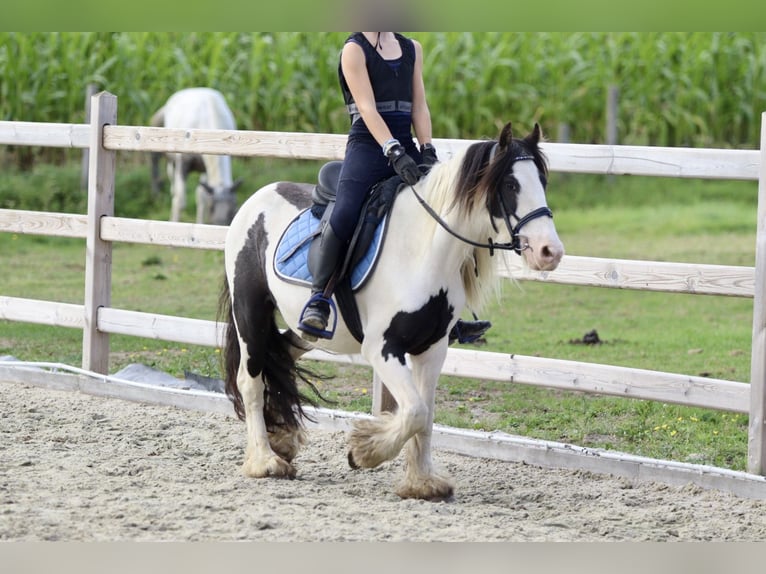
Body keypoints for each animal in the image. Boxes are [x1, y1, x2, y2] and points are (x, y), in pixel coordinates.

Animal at [151, 88, 243, 227]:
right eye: (212, 208)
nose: (220, 225)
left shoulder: (205, 168)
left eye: (233, 210)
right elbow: (180, 202)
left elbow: (202, 197)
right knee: (173, 184)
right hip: (173, 162)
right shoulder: (183, 165)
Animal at [216, 124, 564, 502]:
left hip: (304, 331)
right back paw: (265, 461)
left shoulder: (432, 348)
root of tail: (259, 197)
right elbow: (413, 411)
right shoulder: (382, 348)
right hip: (250, 313)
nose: (550, 252)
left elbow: (425, 415)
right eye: (510, 185)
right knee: (251, 380)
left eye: (543, 181)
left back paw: (281, 440)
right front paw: (363, 452)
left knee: (280, 356)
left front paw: (422, 483)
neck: (423, 249)